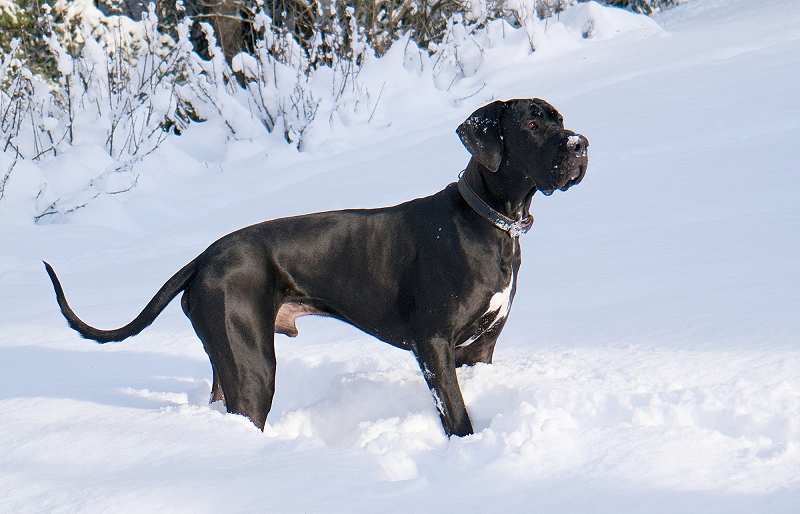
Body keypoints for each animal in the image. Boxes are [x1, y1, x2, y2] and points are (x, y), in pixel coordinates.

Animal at [45, 99, 588, 437]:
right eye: (532, 125)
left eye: (560, 119)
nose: (579, 143)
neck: (491, 222)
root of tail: (205, 255)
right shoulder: (433, 344)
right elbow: (456, 417)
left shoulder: (480, 349)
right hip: (254, 367)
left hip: (227, 363)